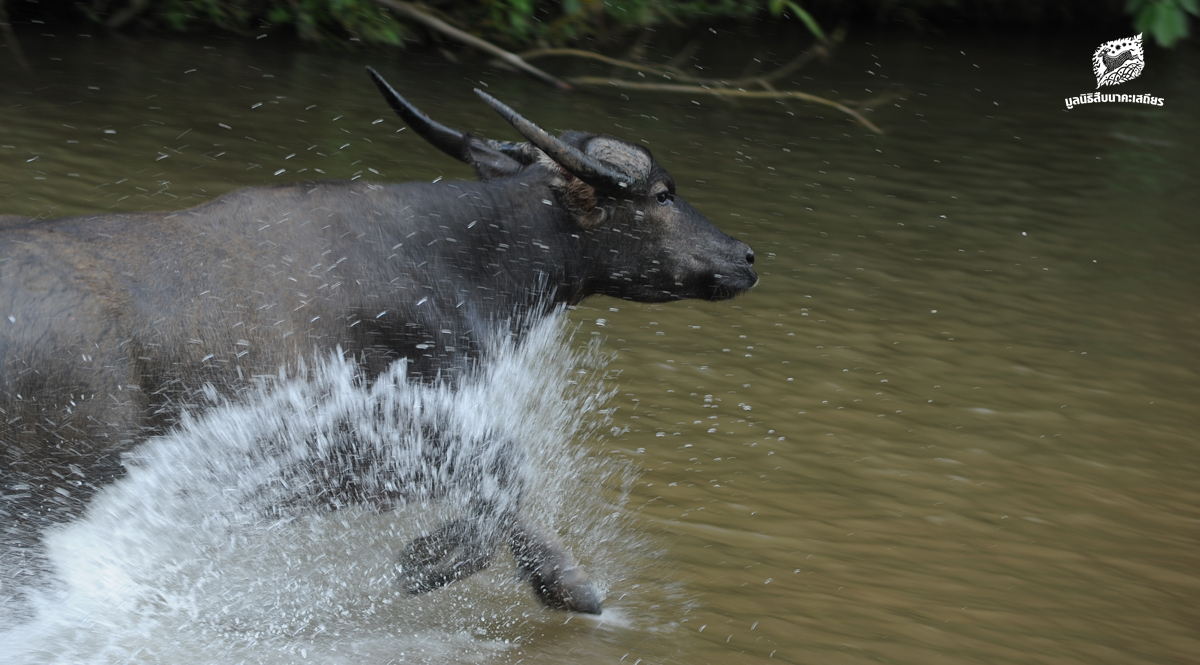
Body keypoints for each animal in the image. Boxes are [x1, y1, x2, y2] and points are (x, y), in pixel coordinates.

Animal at [0, 67, 753, 609]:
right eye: (661, 194)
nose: (745, 255)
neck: (461, 257)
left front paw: (567, 584)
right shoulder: (368, 441)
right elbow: (504, 471)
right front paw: (428, 564)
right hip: (44, 500)